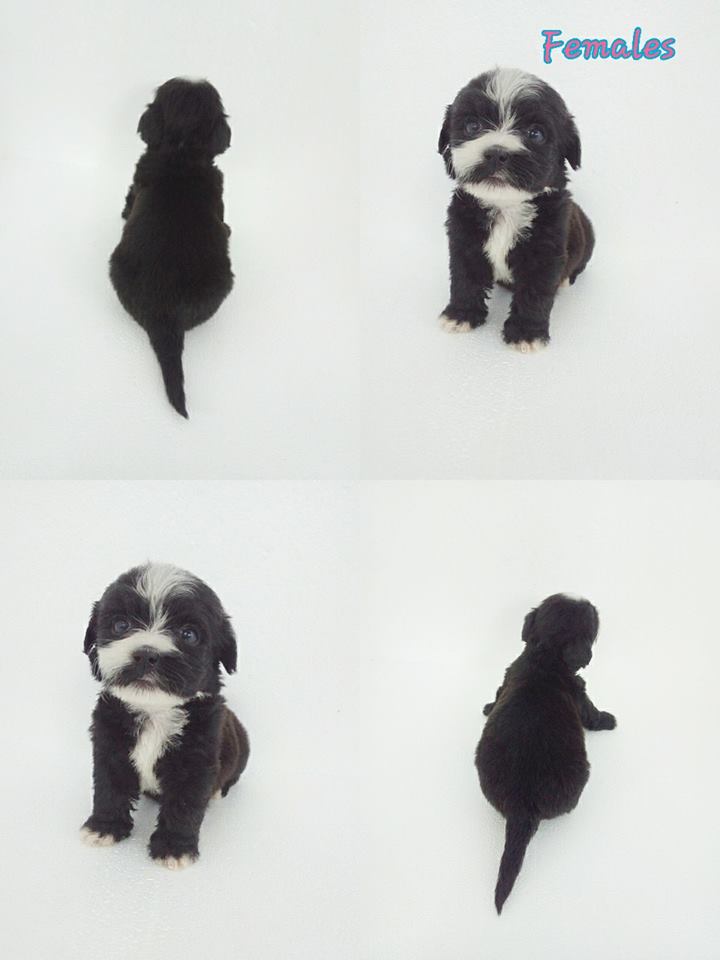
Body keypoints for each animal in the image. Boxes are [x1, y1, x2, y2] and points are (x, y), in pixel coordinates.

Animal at [80, 562, 249, 869]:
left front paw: (174, 848)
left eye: (189, 635)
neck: (154, 712)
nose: (147, 654)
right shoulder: (109, 745)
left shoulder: (195, 760)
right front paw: (104, 827)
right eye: (121, 625)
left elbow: (184, 805)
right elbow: (109, 789)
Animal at [438, 68, 595, 351]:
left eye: (535, 134)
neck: (505, 207)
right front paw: (461, 315)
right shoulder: (464, 239)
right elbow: (464, 279)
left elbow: (534, 293)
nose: (497, 153)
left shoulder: (545, 253)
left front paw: (526, 333)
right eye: (473, 126)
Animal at [475, 594, 615, 913]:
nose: (591, 603)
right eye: (590, 621)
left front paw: (487, 708)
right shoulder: (580, 694)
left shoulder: (507, 676)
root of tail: (521, 807)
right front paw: (609, 720)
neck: (543, 657)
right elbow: (592, 713)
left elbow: (497, 692)